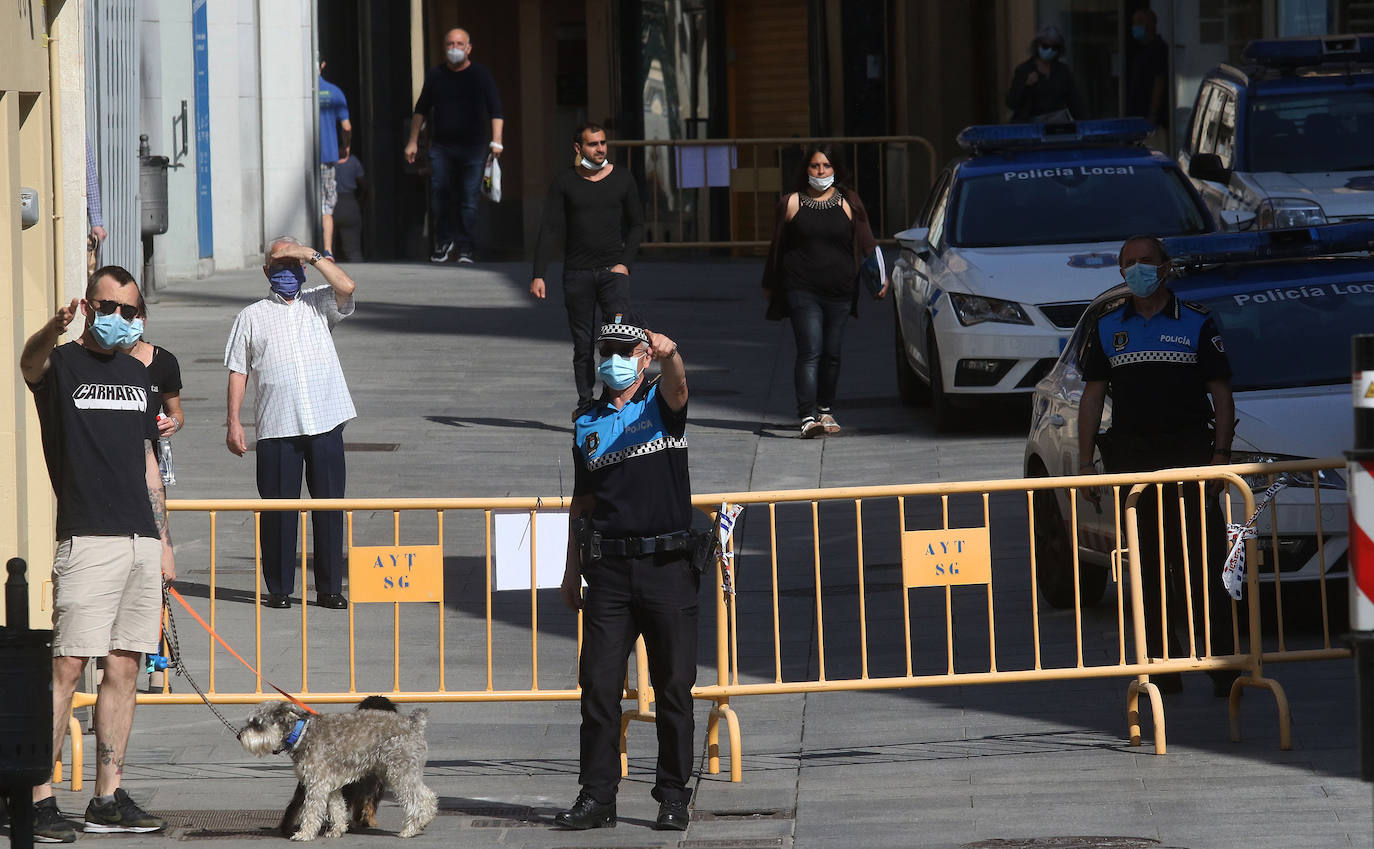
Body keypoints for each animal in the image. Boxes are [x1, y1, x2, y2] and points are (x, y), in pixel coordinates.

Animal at [239, 697, 436, 835]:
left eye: (257, 724)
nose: (239, 736)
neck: (301, 733)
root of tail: (414, 724)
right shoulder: (330, 784)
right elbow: (337, 808)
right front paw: (338, 830)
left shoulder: (316, 784)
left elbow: (311, 811)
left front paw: (305, 834)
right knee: (427, 796)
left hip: (400, 774)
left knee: (419, 799)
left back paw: (410, 829)